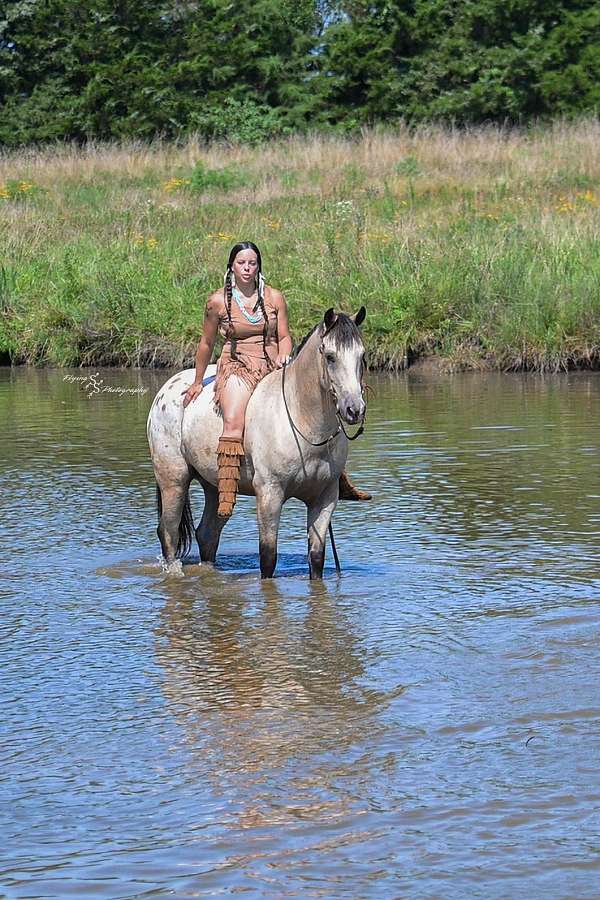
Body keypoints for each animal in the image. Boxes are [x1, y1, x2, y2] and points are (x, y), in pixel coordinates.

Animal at [147, 306, 366, 579]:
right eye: (330, 357)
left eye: (362, 356)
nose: (354, 409)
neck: (303, 423)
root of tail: (166, 389)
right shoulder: (269, 494)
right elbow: (268, 557)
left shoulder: (324, 498)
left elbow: (316, 559)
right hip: (173, 480)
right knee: (169, 532)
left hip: (216, 486)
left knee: (207, 534)